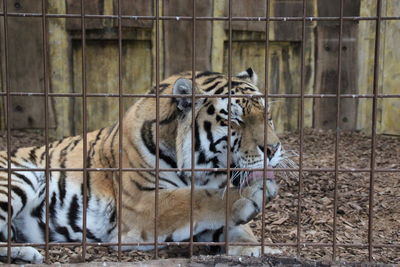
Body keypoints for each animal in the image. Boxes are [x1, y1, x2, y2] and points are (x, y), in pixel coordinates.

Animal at [0, 68, 294, 264]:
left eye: (268, 116)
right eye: (234, 121)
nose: (273, 149)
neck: (204, 170)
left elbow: (237, 227)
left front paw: (254, 248)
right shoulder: (139, 205)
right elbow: (194, 199)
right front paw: (251, 195)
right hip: (19, 178)